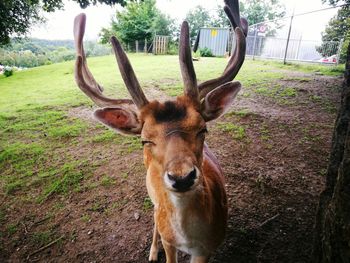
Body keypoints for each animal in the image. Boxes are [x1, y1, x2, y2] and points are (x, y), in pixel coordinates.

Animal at [73, 1, 246, 262]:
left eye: (203, 129)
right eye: (145, 140)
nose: (182, 177)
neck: (190, 240)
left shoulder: (209, 247)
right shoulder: (169, 241)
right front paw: (156, 252)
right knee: (154, 215)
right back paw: (153, 252)